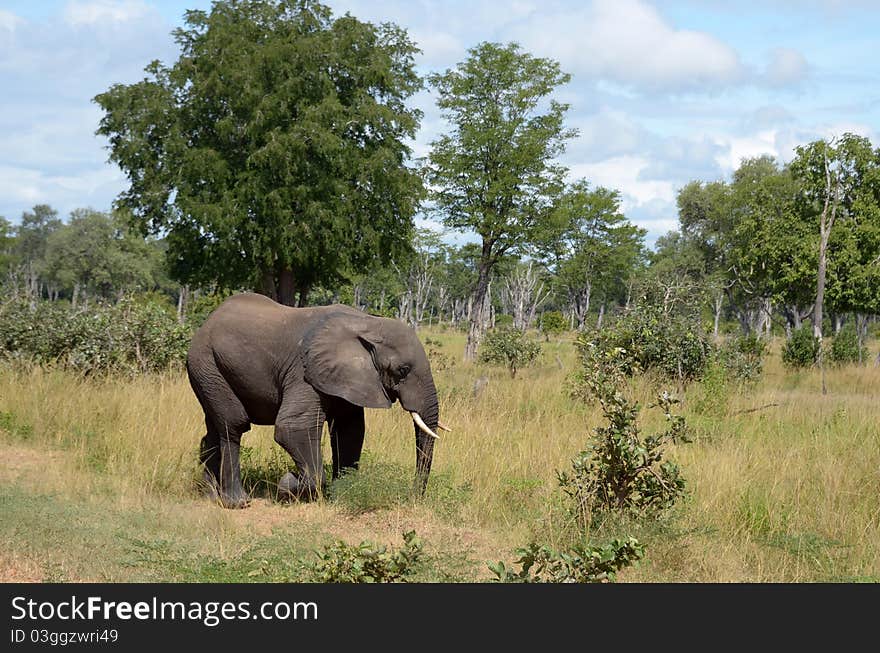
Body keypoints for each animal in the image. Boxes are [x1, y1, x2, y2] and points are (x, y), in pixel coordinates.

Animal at [187, 292, 446, 510]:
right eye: (402, 370)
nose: (413, 497)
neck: (367, 323)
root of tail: (207, 322)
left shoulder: (344, 377)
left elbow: (349, 431)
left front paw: (341, 494)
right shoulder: (304, 374)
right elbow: (292, 428)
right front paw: (287, 485)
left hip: (209, 372)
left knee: (214, 428)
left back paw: (210, 495)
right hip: (206, 364)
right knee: (234, 425)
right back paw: (237, 502)